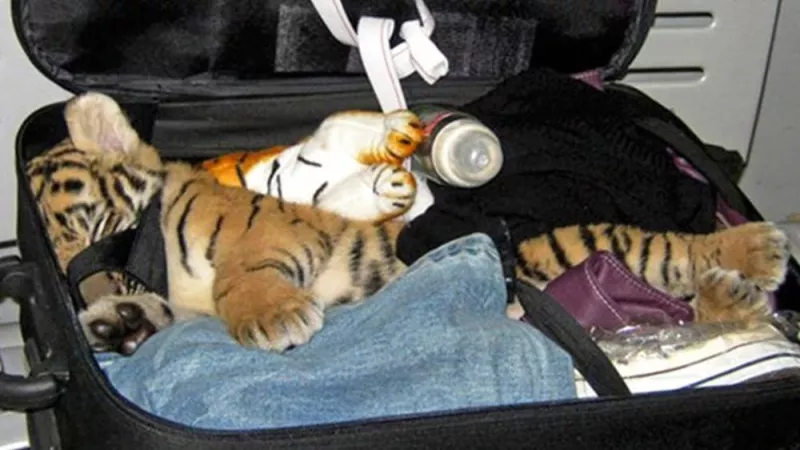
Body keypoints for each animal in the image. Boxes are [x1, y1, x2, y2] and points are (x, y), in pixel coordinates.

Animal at [25, 92, 791, 355]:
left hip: (585, 240)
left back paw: (756, 249)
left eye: (93, 226)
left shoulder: (265, 232)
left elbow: (239, 276)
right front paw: (116, 324)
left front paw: (272, 318)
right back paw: (737, 298)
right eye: (59, 262)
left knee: (672, 251)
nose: (87, 295)